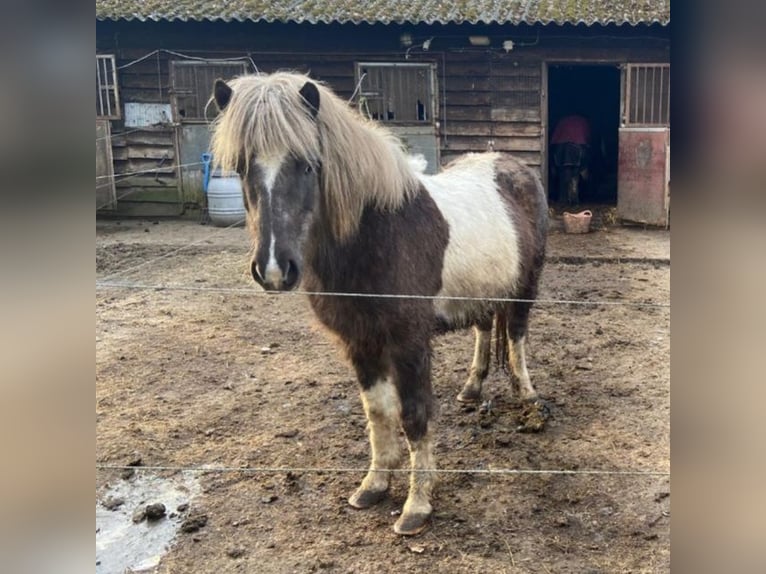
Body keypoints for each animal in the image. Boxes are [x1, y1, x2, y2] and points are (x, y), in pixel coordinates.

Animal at [210, 72, 548, 536]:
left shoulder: (408, 343)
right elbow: (378, 411)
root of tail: (513, 168)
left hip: (525, 286)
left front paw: (417, 506)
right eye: (242, 167)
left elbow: (414, 416)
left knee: (516, 336)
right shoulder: (359, 341)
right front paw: (374, 485)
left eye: (307, 165)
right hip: (482, 291)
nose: (275, 269)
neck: (376, 233)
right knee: (483, 331)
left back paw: (527, 394)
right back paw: (471, 389)